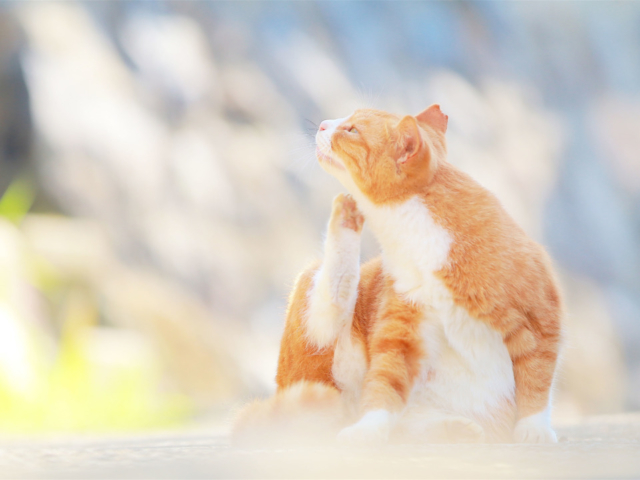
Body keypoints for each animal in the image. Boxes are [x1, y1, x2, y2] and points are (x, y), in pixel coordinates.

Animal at [232, 105, 564, 446]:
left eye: (352, 130)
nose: (323, 124)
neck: (417, 242)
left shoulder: (541, 317)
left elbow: (537, 381)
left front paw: (534, 428)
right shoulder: (403, 326)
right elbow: (385, 384)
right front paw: (366, 429)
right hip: (320, 319)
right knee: (331, 306)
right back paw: (345, 217)